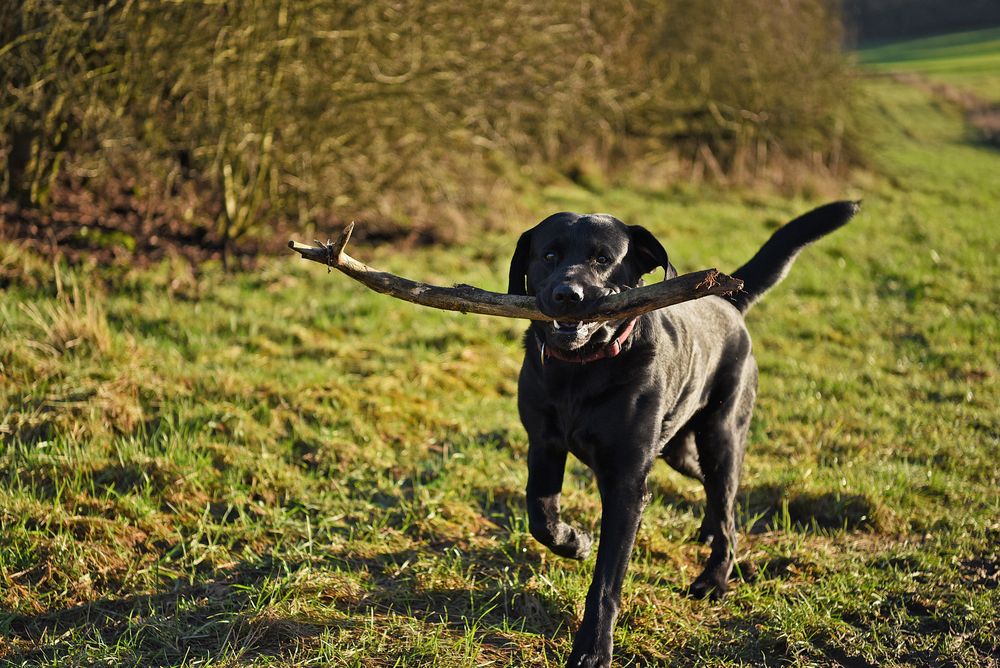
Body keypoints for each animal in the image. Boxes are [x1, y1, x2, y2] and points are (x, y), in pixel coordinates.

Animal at [508, 201, 860, 664]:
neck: (579, 372)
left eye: (604, 259)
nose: (569, 295)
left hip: (721, 436)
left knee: (728, 502)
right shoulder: (544, 447)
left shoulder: (627, 484)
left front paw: (593, 650)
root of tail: (727, 300)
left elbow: (606, 582)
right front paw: (577, 541)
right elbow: (542, 518)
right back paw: (708, 530)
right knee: (716, 492)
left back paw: (714, 579)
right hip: (679, 449)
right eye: (549, 255)